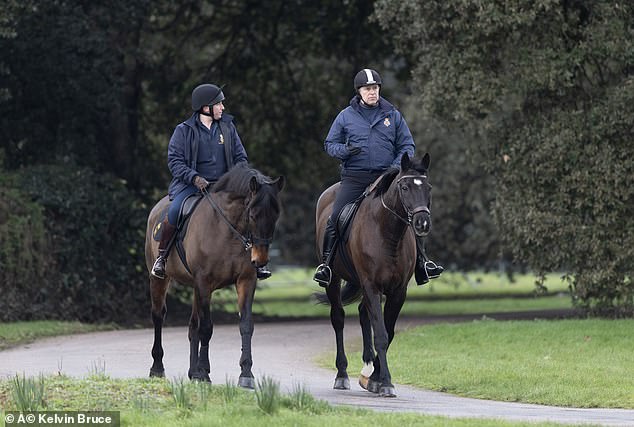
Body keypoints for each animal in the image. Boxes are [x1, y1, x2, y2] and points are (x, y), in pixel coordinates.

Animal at [144, 165, 282, 388]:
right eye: (253, 215)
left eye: (276, 216)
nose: (260, 260)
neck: (228, 229)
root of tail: (157, 208)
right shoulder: (204, 283)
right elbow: (206, 328)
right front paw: (204, 373)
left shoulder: (245, 281)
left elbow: (246, 325)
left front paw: (246, 374)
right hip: (159, 280)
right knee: (158, 316)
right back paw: (157, 368)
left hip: (194, 288)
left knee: (192, 324)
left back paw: (192, 372)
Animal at [314, 153, 432, 398]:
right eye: (404, 187)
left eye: (428, 188)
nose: (422, 223)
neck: (388, 233)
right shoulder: (372, 286)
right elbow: (381, 334)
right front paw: (385, 382)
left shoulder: (398, 291)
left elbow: (389, 332)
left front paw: (375, 378)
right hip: (334, 280)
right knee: (338, 318)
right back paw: (342, 375)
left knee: (362, 312)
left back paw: (367, 361)